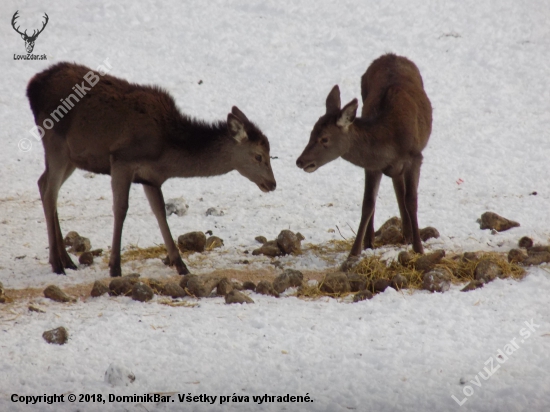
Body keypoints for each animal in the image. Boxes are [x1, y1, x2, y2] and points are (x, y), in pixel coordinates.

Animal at [26, 62, 278, 276]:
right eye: (259, 156)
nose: (272, 183)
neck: (165, 152)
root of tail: (32, 87)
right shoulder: (121, 159)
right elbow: (121, 209)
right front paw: (115, 268)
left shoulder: (151, 178)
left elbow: (160, 213)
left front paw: (181, 266)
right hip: (55, 141)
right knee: (49, 191)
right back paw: (57, 263)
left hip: (71, 157)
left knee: (43, 183)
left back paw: (66, 260)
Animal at [300, 54, 434, 268]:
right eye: (311, 133)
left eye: (324, 139)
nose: (301, 161)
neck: (390, 140)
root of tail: (391, 54)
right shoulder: (372, 166)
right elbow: (368, 204)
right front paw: (355, 251)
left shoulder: (415, 157)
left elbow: (412, 200)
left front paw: (419, 248)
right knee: (396, 184)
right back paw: (376, 240)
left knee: (400, 187)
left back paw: (407, 235)